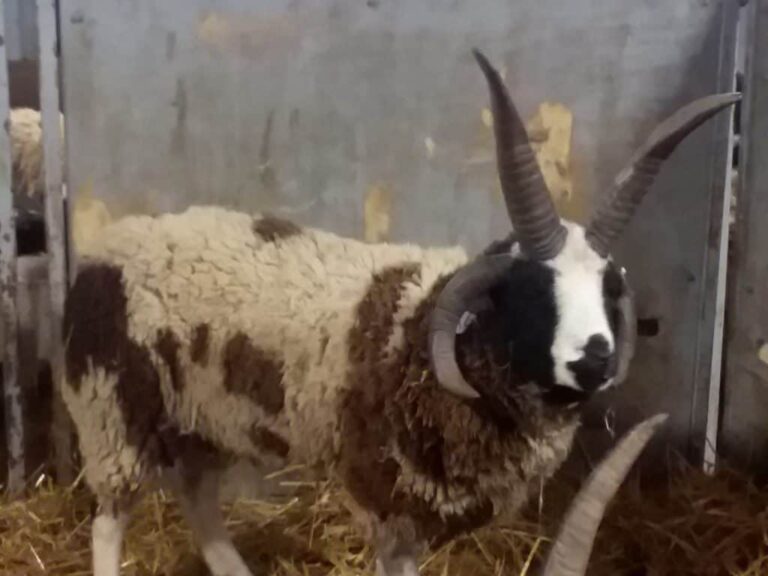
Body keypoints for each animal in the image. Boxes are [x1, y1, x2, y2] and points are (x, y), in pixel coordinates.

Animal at [61, 50, 736, 576]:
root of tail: (105, 250)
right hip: (113, 413)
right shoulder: (387, 497)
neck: (422, 328)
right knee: (109, 521)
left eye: (607, 286)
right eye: (531, 292)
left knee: (198, 500)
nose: (595, 360)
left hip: (203, 419)